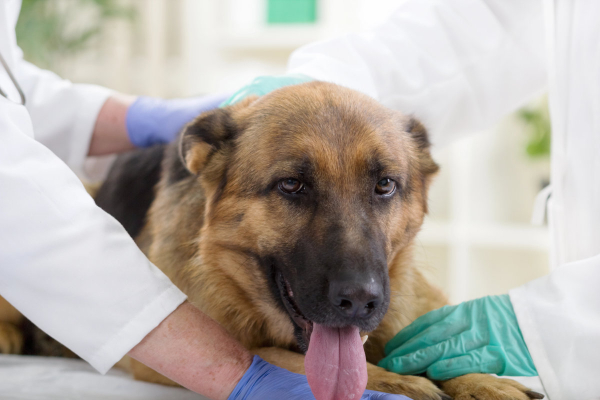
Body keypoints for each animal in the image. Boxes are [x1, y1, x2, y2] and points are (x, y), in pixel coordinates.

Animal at [0, 82, 544, 400]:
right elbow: (279, 358)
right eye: (292, 186)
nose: (361, 301)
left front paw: (477, 379)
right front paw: (397, 383)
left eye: (385, 185)